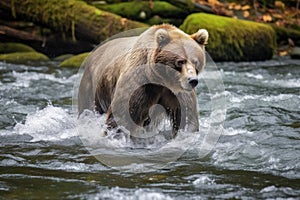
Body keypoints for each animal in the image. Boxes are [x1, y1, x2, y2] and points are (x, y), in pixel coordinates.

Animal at [78, 23, 209, 139]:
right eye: (180, 61)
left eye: (195, 62)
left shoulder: (178, 92)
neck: (160, 78)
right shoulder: (140, 82)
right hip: (93, 86)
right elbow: (122, 116)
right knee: (87, 108)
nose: (192, 80)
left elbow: (187, 118)